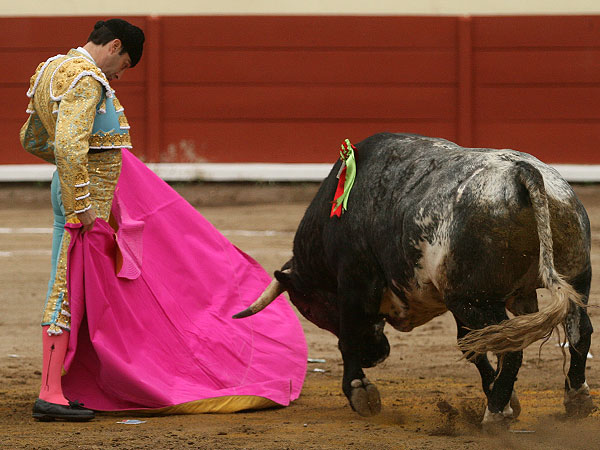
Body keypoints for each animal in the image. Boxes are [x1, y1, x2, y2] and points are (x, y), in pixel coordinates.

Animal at [232, 133, 592, 426]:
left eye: (310, 308)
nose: (376, 356)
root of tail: (521, 173)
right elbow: (470, 345)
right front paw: (505, 400)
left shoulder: (353, 282)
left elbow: (348, 337)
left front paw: (360, 391)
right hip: (574, 279)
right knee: (579, 332)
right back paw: (575, 399)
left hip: (475, 300)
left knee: (513, 347)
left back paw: (494, 416)